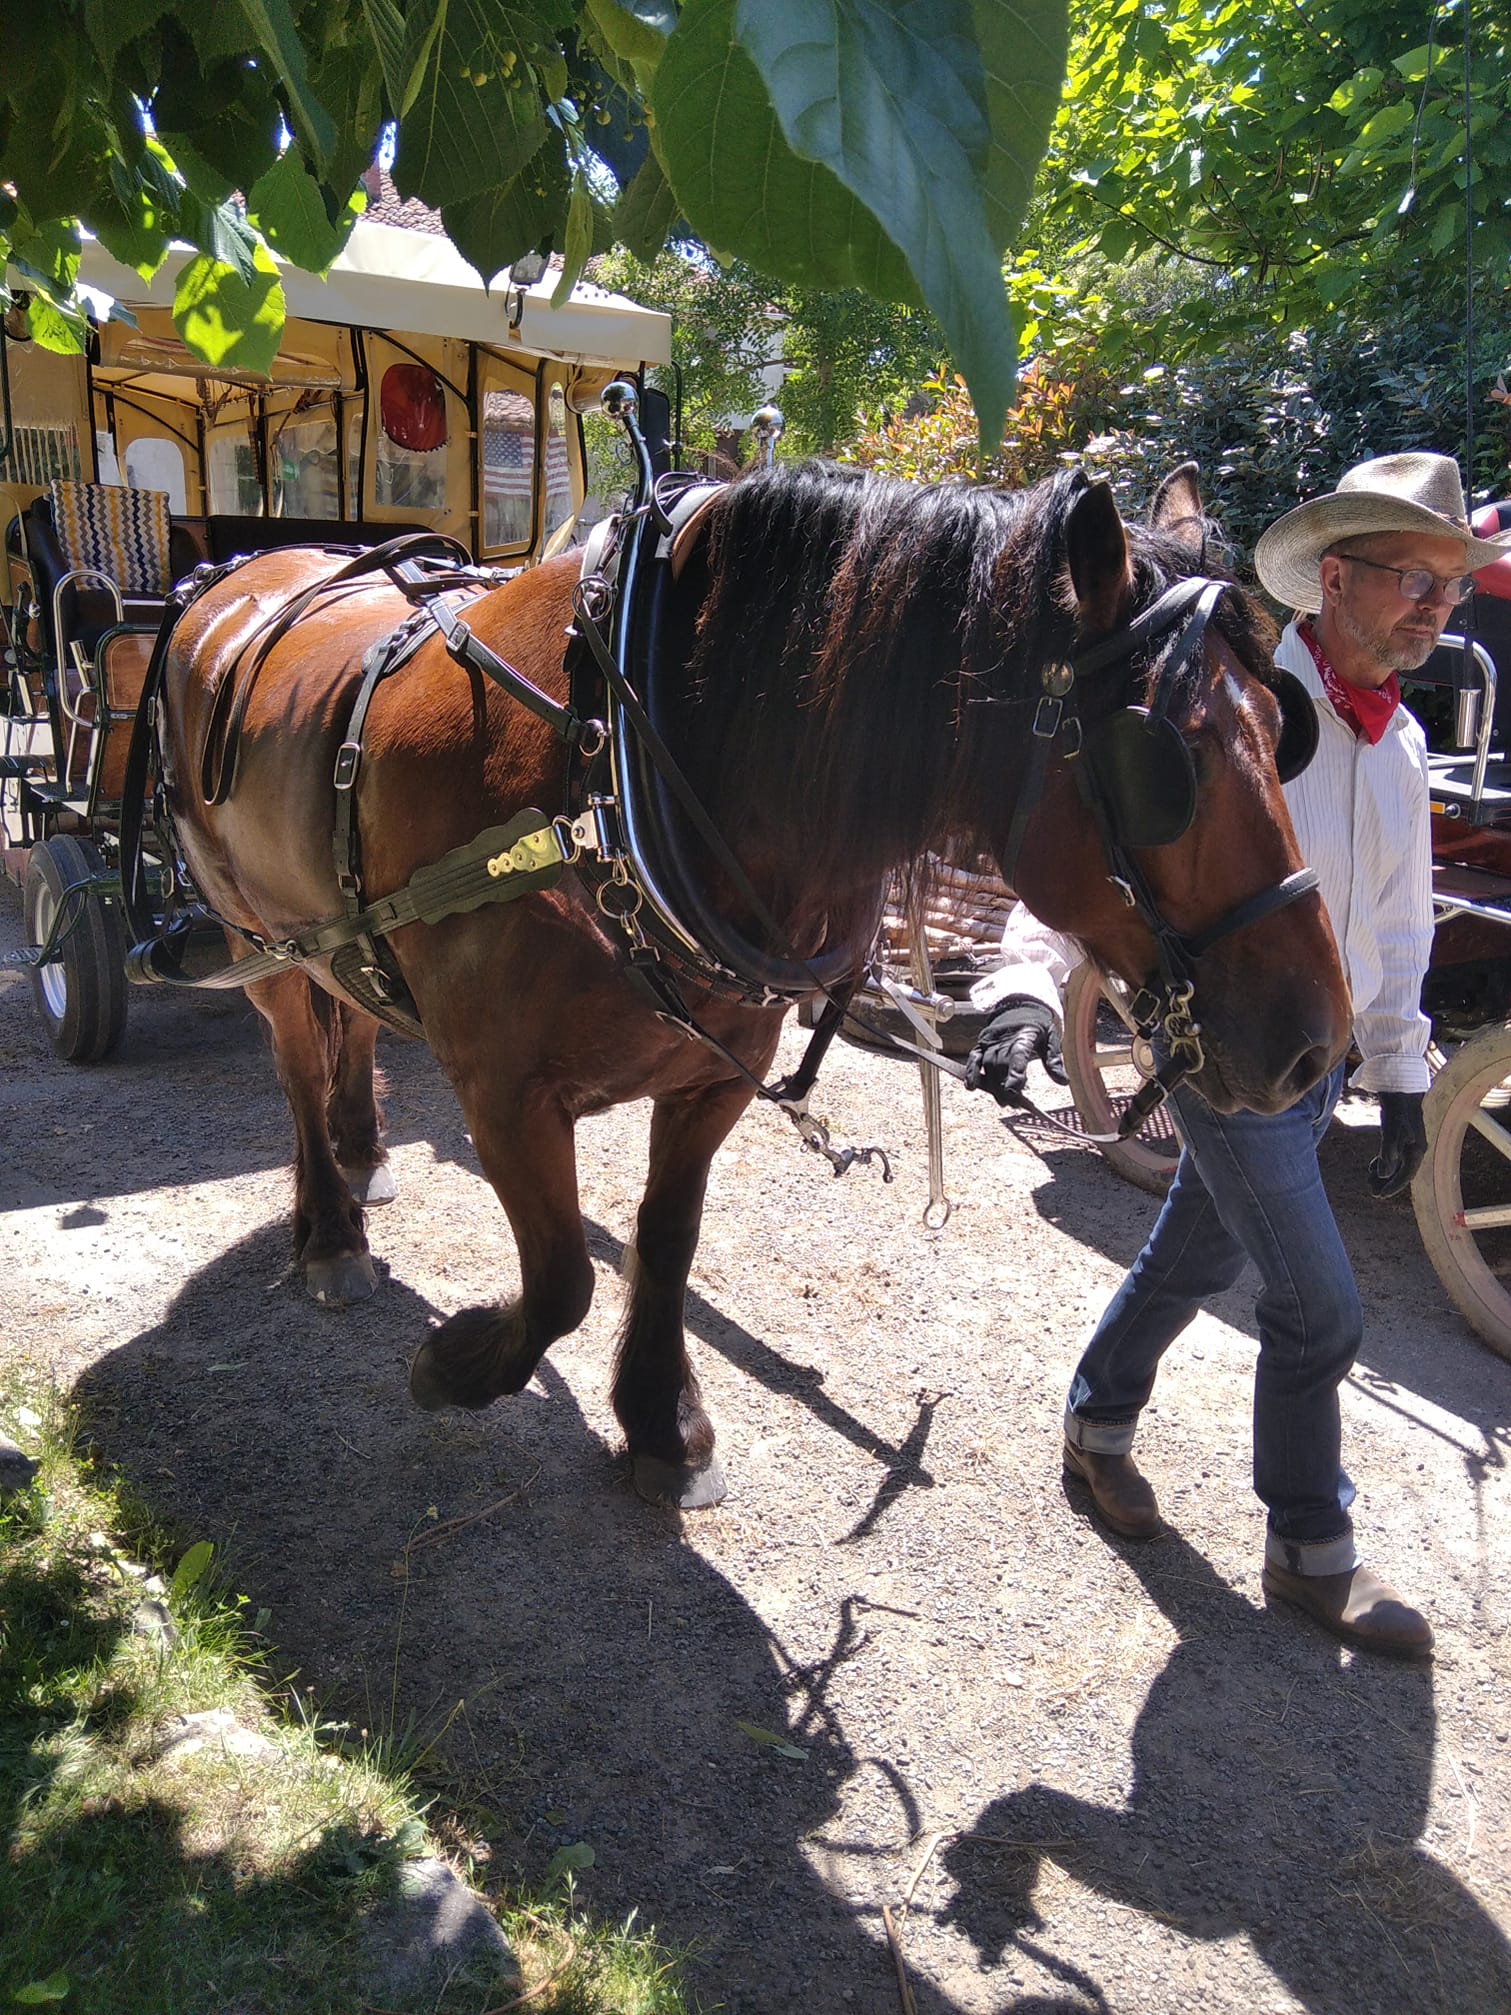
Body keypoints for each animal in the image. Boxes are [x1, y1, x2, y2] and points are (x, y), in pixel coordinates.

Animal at [160, 457, 1353, 1499]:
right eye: (1164, 765)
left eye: (1283, 732)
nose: (1315, 1046)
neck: (613, 758)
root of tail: (245, 571)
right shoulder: (501, 1092)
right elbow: (562, 1276)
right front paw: (459, 1364)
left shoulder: (710, 1079)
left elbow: (663, 1241)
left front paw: (659, 1423)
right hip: (245, 927)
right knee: (295, 1061)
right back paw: (328, 1230)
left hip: (329, 928)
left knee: (352, 1014)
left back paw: (365, 1157)